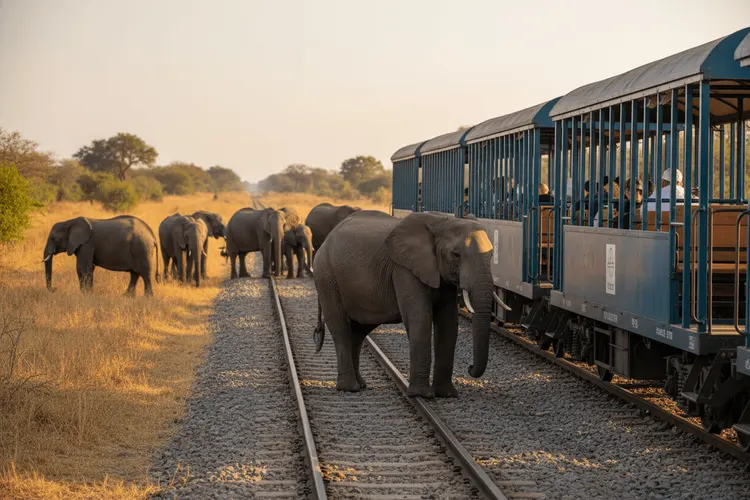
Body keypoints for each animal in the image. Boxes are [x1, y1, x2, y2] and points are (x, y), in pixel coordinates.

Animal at [312, 210, 510, 398]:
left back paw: (360, 384)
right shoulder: (405, 269)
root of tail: (326, 240)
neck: (442, 222)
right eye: (456, 255)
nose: (470, 368)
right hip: (327, 277)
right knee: (341, 328)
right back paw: (349, 388)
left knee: (359, 330)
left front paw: (446, 394)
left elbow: (449, 324)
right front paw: (422, 395)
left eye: (491, 255)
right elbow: (420, 318)